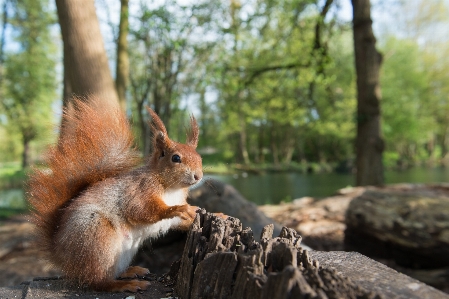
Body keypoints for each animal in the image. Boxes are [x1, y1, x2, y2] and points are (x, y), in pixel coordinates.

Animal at [27, 98, 201, 292]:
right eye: (176, 158)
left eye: (199, 158)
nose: (198, 176)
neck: (172, 189)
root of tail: (62, 255)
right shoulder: (139, 190)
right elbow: (141, 210)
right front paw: (177, 208)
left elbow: (180, 222)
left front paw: (201, 213)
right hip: (97, 236)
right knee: (97, 281)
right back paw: (125, 284)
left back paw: (130, 271)